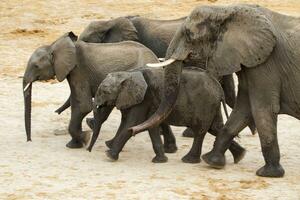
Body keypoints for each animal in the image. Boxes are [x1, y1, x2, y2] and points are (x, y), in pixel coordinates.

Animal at [22, 31, 176, 150]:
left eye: (36, 66)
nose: (29, 140)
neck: (54, 46)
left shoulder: (79, 71)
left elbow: (83, 106)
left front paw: (84, 138)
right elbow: (76, 103)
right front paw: (76, 143)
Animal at [90, 67, 245, 164]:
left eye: (104, 91)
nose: (89, 150)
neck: (129, 73)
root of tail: (218, 86)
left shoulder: (144, 99)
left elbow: (130, 124)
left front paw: (109, 155)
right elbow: (142, 125)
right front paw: (160, 160)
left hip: (206, 103)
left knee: (201, 131)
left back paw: (189, 160)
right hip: (212, 105)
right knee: (215, 128)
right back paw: (239, 156)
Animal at [130, 3, 300, 177]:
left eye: (189, 35)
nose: (132, 130)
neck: (226, 10)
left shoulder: (266, 65)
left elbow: (262, 110)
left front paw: (268, 173)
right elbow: (242, 111)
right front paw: (213, 161)